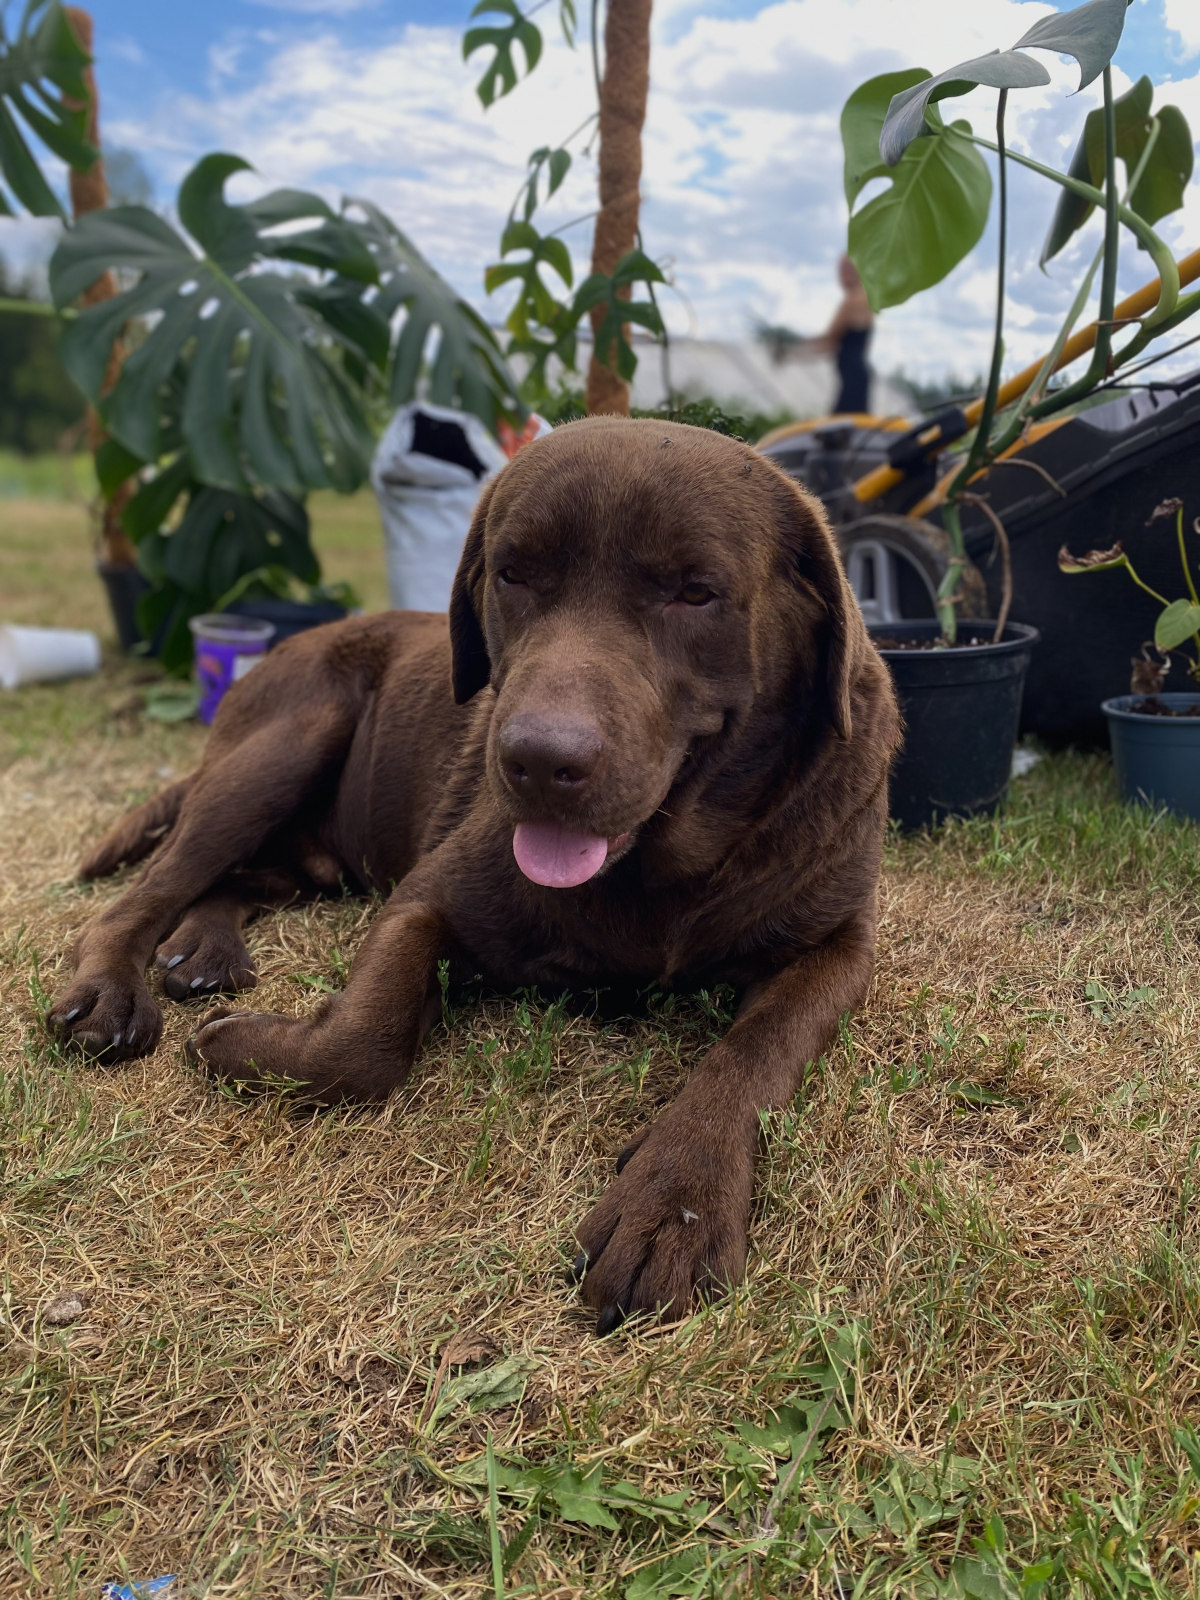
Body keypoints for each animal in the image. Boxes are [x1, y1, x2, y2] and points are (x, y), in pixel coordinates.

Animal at [49, 419, 902, 1331]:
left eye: (695, 592)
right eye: (513, 574)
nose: (537, 760)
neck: (669, 868)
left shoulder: (837, 946)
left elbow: (756, 1054)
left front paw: (676, 1203)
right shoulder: (429, 896)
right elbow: (364, 1039)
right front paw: (252, 1046)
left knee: (236, 879)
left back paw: (204, 949)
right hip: (290, 739)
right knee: (146, 892)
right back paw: (111, 990)